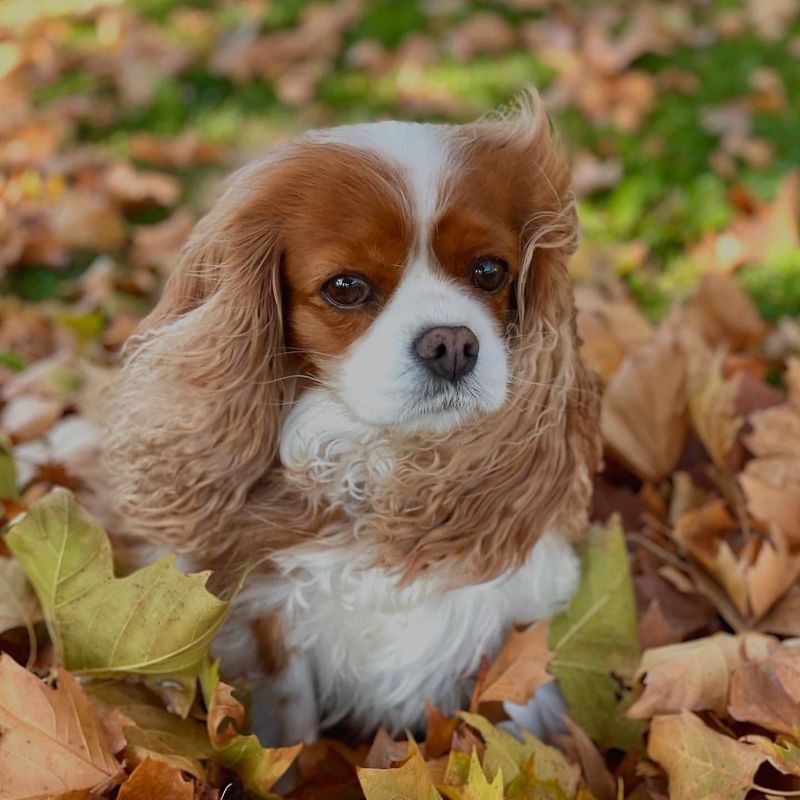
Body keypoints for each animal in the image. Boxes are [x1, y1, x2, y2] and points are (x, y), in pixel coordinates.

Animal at [109, 90, 604, 748]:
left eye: (490, 271)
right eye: (345, 287)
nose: (452, 344)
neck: (387, 463)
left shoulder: (515, 608)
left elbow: (522, 709)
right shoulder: (271, 618)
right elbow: (291, 726)